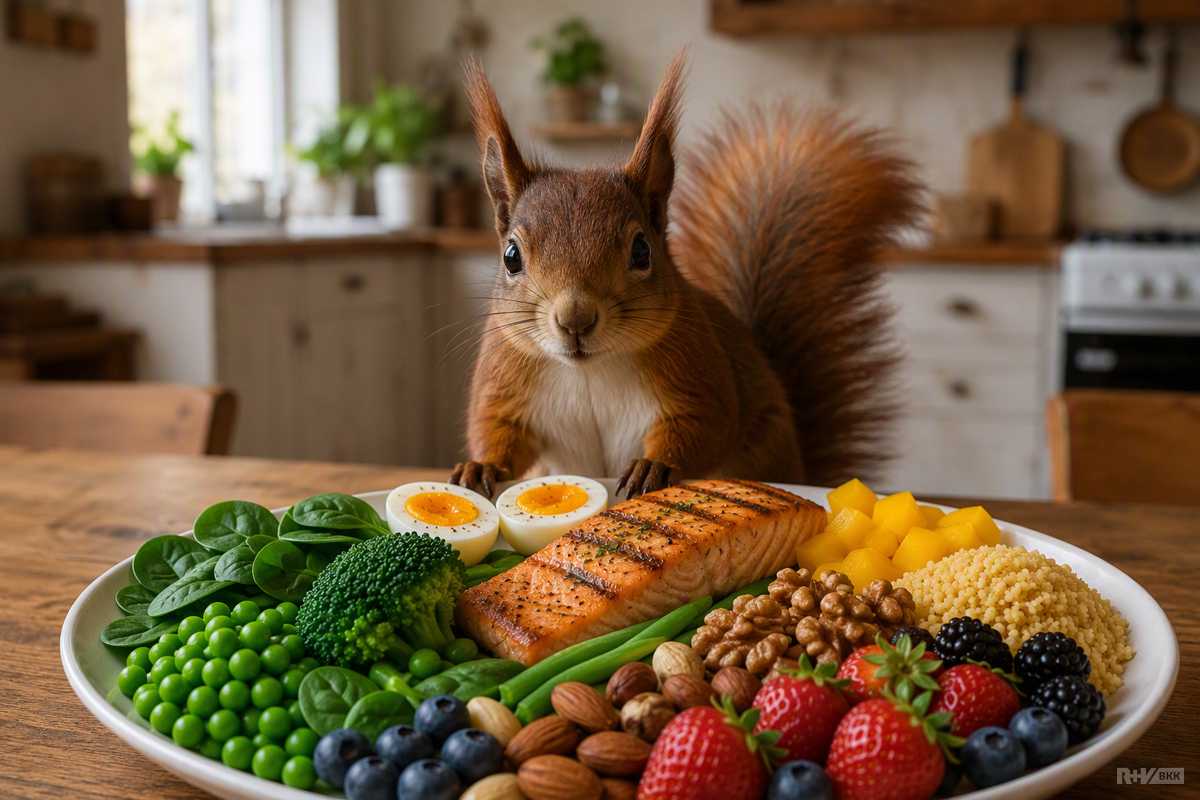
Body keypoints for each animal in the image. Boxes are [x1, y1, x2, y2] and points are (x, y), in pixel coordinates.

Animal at [450, 52, 922, 499]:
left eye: (642, 251)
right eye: (511, 256)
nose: (575, 320)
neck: (590, 370)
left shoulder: (695, 370)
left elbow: (704, 424)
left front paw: (652, 466)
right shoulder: (505, 378)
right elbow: (496, 429)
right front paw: (480, 467)